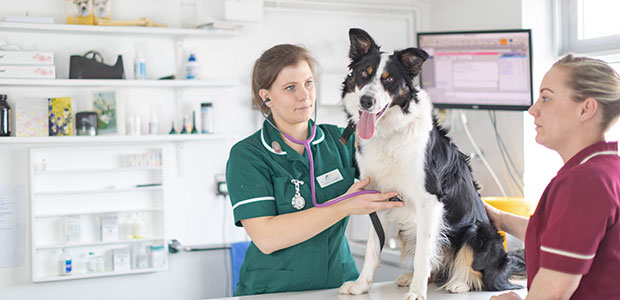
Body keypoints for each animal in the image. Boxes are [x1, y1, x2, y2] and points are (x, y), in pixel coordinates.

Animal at [336, 28, 524, 300]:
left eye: (389, 80)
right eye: (364, 74)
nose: (366, 101)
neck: (389, 133)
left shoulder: (429, 201)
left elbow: (423, 255)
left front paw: (417, 292)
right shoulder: (377, 197)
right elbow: (373, 248)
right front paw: (362, 285)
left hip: (479, 231)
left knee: (482, 274)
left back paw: (460, 282)